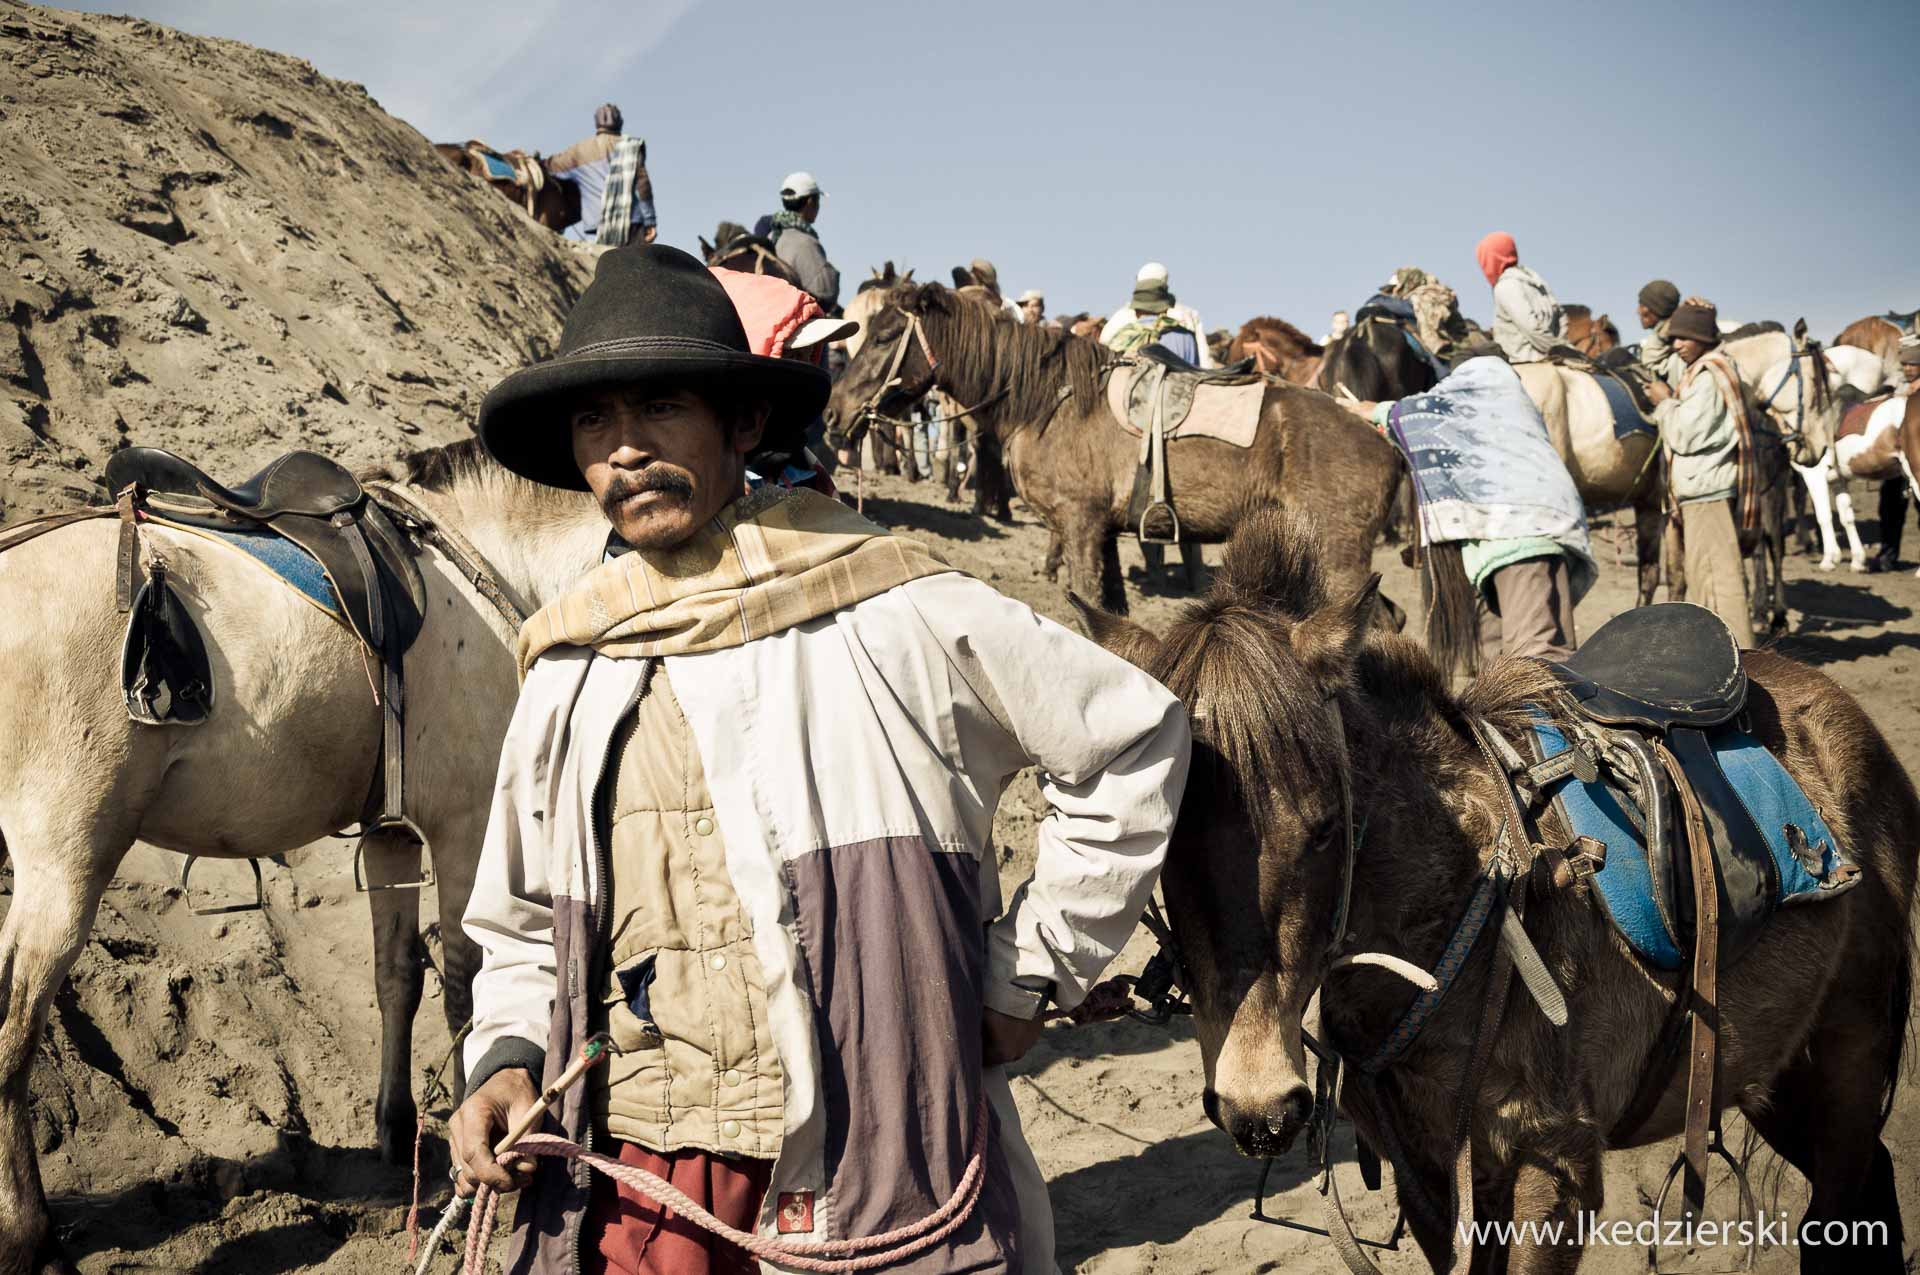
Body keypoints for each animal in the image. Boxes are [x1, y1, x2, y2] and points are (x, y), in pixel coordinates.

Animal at [0, 441, 599, 1275]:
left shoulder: (392, 834)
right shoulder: (468, 822)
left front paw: (395, 1127)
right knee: (13, 1035)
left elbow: (397, 976)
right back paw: (29, 1234)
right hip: (64, 860)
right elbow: (466, 989)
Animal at [821, 280, 1397, 618]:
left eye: (885, 336)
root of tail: (1381, 439)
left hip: (1341, 561)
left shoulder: (1079, 526)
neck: (1049, 400)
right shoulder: (1103, 535)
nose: (832, 414)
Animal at [1090, 506, 1912, 1275]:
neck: (1457, 911)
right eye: (1159, 838)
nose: (1257, 1106)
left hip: (1847, 1058)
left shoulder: (1549, 1170)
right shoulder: (1429, 1174)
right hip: (1780, 1069)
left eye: (1325, 827)